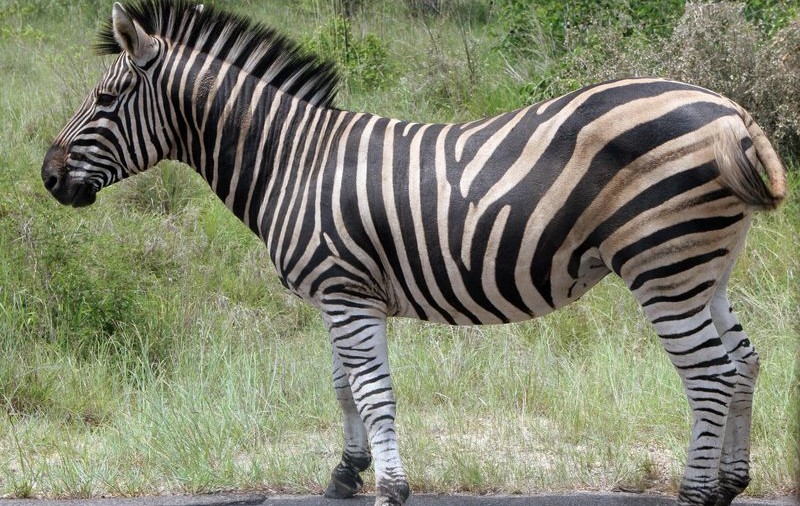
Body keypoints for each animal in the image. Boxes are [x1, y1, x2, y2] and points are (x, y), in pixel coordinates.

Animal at [41, 1, 787, 505]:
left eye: (104, 98)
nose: (47, 177)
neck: (293, 162)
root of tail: (730, 110)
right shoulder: (337, 293)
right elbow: (343, 385)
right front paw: (346, 473)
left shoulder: (344, 289)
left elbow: (373, 389)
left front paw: (390, 487)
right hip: (706, 266)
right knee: (744, 361)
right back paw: (730, 484)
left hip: (660, 265)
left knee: (710, 374)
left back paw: (694, 494)